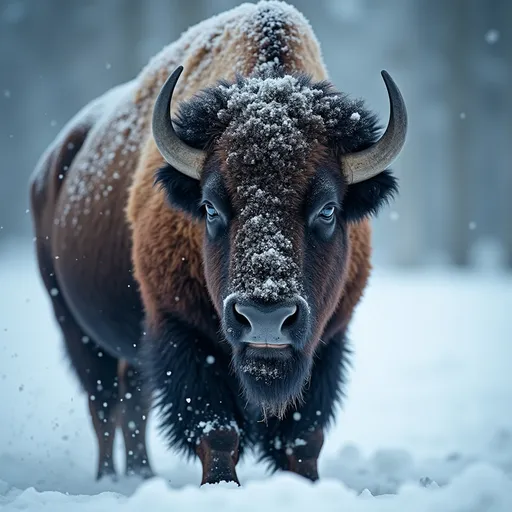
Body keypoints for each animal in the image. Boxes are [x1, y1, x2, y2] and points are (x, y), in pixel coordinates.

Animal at [31, 0, 408, 486]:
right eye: (210, 207)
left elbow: (304, 436)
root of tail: (52, 164)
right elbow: (217, 430)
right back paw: (111, 480)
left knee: (132, 403)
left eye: (328, 209)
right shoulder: (181, 330)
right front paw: (221, 485)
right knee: (105, 407)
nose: (265, 318)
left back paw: (142, 475)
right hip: (73, 324)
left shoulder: (329, 341)